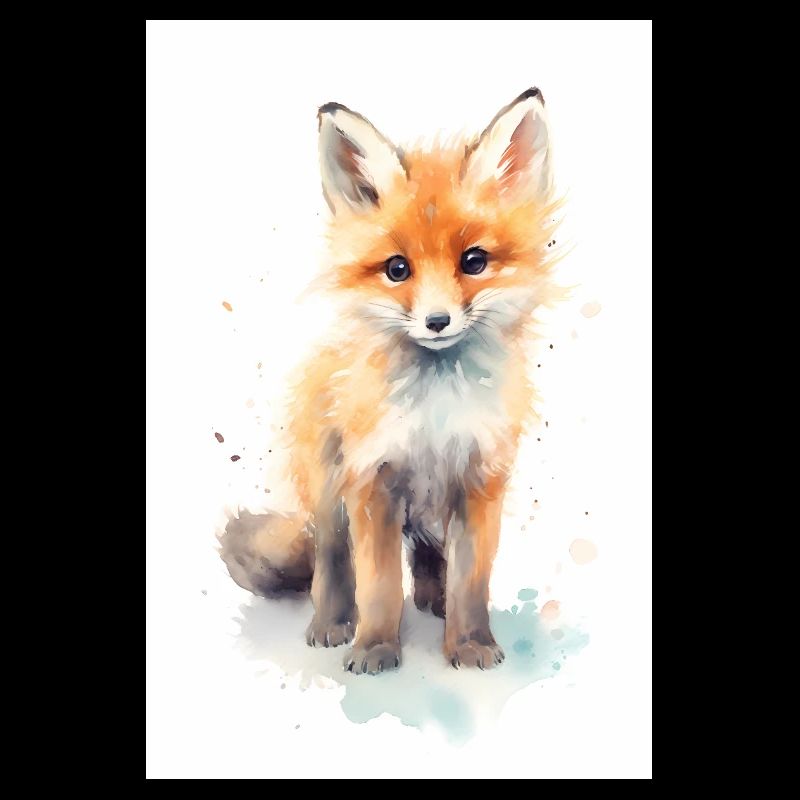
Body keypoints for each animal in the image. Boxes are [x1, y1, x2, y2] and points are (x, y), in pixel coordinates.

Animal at [219, 88, 563, 674]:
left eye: (474, 261)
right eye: (397, 269)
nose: (437, 322)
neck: (436, 412)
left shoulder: (480, 479)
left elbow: (470, 580)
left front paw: (468, 642)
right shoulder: (371, 482)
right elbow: (377, 584)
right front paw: (376, 646)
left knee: (428, 554)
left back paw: (432, 601)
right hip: (330, 498)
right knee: (332, 567)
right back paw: (333, 623)